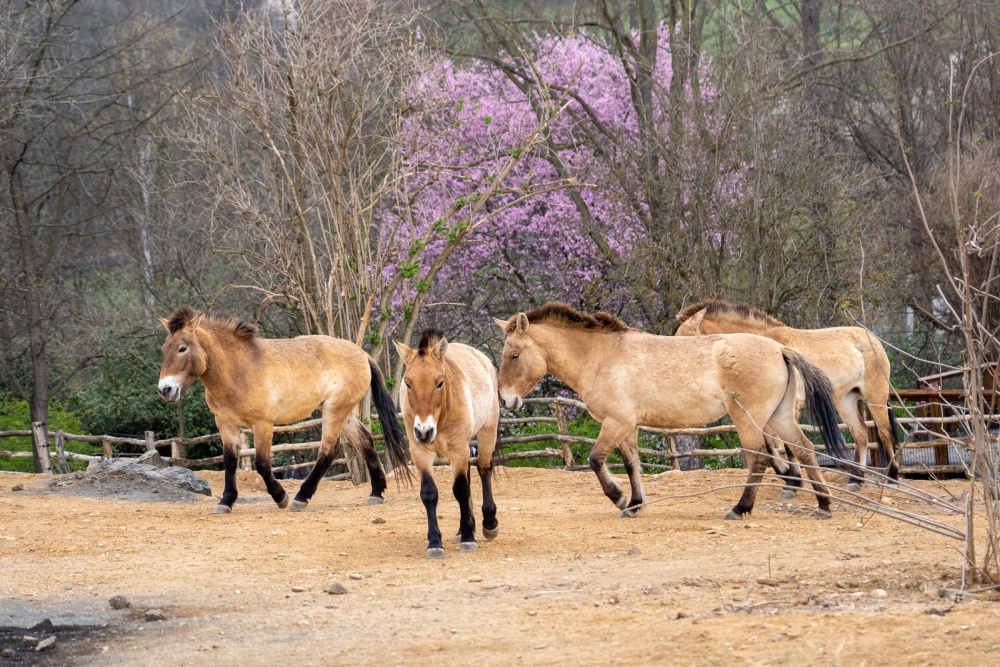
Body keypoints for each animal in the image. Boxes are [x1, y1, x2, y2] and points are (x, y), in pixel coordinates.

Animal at [156, 306, 410, 516]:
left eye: (182, 349)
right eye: (164, 349)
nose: (165, 389)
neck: (239, 369)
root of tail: (361, 353)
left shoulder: (262, 424)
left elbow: (261, 463)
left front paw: (281, 497)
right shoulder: (226, 424)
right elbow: (229, 462)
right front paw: (226, 502)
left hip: (334, 411)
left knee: (329, 450)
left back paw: (300, 497)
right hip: (344, 413)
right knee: (365, 441)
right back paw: (376, 492)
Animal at [392, 328, 498, 560]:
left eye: (439, 382)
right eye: (408, 383)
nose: (424, 431)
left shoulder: (458, 450)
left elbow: (461, 490)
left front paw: (468, 538)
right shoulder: (420, 453)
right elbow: (429, 493)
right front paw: (435, 542)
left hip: (488, 431)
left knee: (484, 468)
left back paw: (489, 523)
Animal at [492, 302, 852, 520]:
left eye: (513, 354)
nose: (506, 401)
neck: (601, 357)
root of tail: (779, 348)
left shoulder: (615, 422)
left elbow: (595, 459)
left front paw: (618, 498)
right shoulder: (628, 426)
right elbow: (631, 463)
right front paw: (635, 504)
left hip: (748, 420)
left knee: (759, 458)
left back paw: (740, 508)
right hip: (779, 417)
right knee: (803, 450)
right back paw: (823, 504)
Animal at [676, 300, 904, 494]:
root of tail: (872, 339)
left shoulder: (787, 409)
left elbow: (787, 445)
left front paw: (793, 482)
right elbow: (771, 446)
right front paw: (788, 477)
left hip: (875, 398)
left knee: (884, 433)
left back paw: (892, 478)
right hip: (845, 401)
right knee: (861, 434)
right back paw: (856, 480)